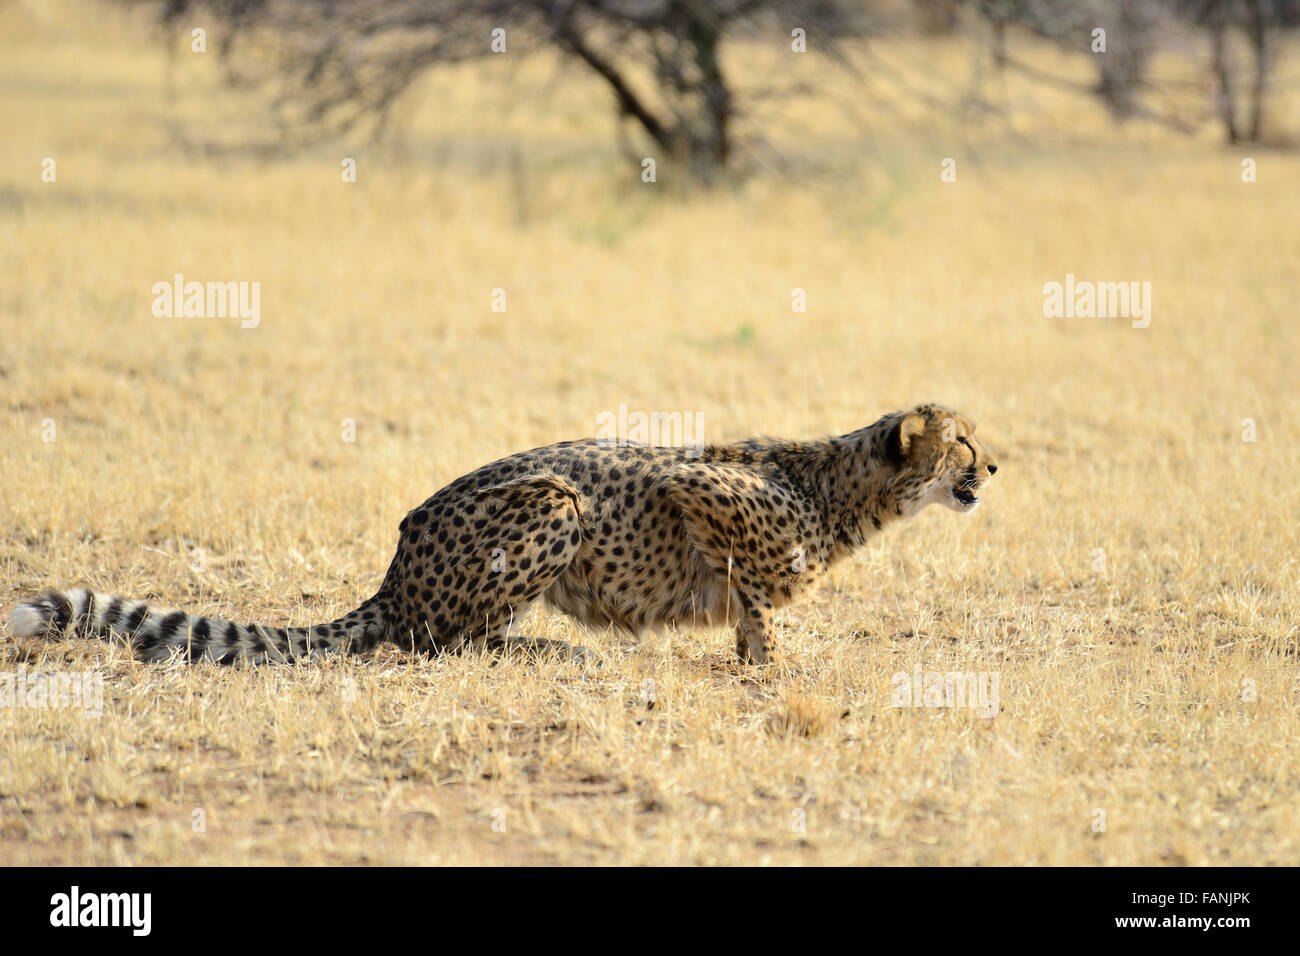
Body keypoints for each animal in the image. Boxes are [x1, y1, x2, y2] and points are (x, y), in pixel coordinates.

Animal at [10, 403, 993, 665]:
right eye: (964, 442)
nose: (995, 470)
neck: (851, 487)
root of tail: (397, 566)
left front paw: (759, 657)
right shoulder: (692, 483)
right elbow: (758, 582)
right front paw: (772, 657)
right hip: (553, 503)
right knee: (442, 642)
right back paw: (552, 651)